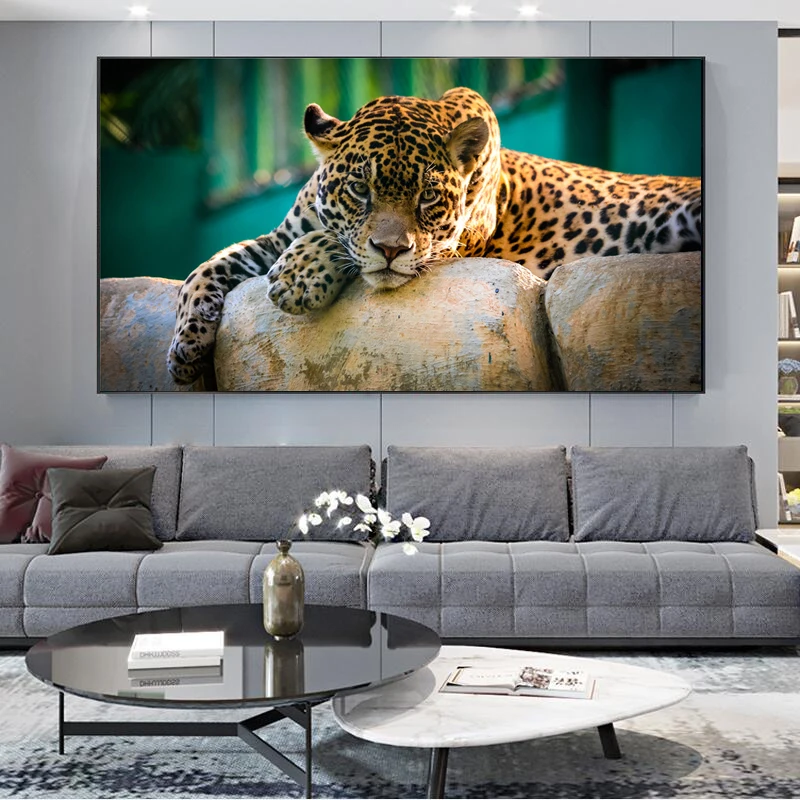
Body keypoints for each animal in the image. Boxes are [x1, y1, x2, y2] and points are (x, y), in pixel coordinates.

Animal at [167, 86, 701, 385]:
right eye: (359, 188)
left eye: (427, 197)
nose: (391, 249)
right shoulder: (278, 237)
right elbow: (207, 267)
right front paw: (185, 348)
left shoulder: (452, 245)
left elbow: (341, 246)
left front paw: (299, 277)